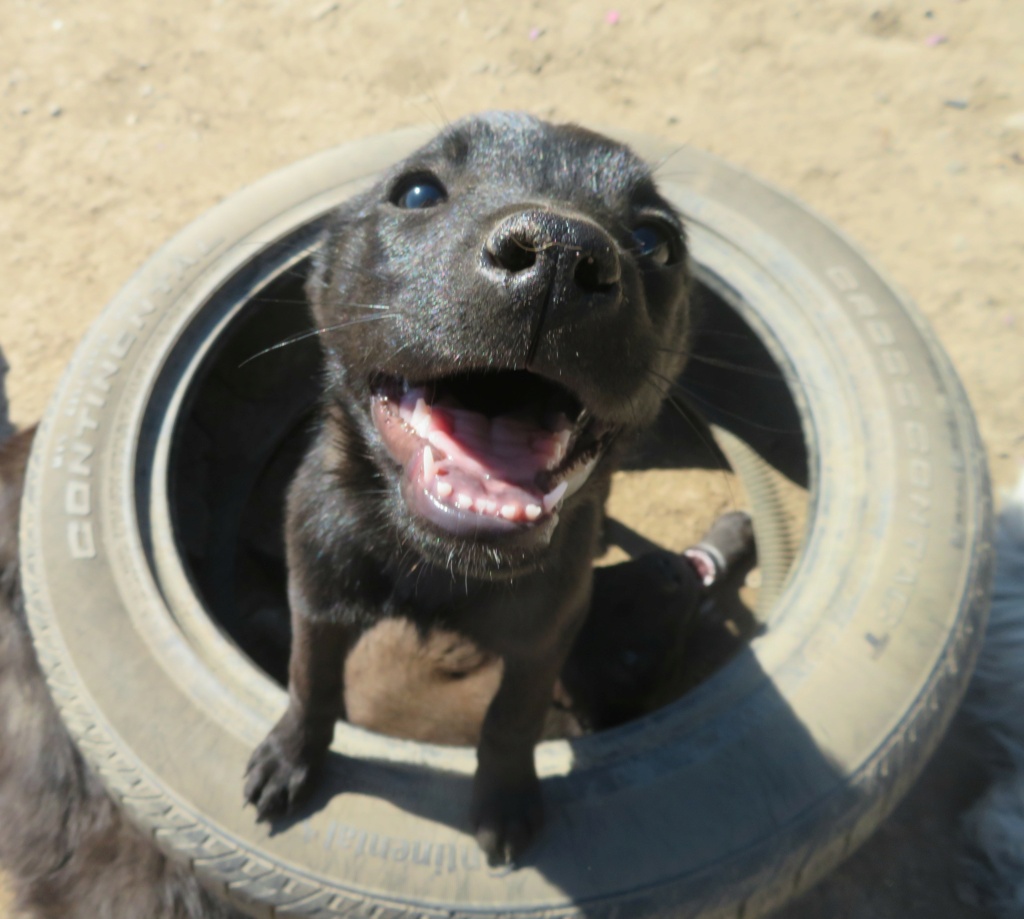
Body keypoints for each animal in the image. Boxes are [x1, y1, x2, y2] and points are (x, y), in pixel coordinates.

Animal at [242, 111, 688, 864]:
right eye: (417, 192)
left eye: (657, 240)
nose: (559, 253)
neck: (433, 567)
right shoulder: (317, 592)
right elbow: (310, 681)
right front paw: (289, 757)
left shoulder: (548, 630)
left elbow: (511, 719)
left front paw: (504, 805)